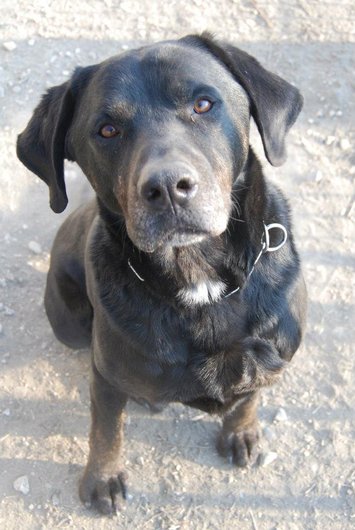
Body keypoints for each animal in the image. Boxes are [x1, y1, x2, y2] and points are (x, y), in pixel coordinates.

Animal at [16, 33, 308, 512]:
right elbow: (105, 429)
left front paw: (242, 430)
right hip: (69, 324)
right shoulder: (107, 378)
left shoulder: (274, 354)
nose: (168, 187)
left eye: (204, 104)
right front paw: (103, 477)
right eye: (107, 130)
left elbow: (250, 395)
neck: (200, 283)